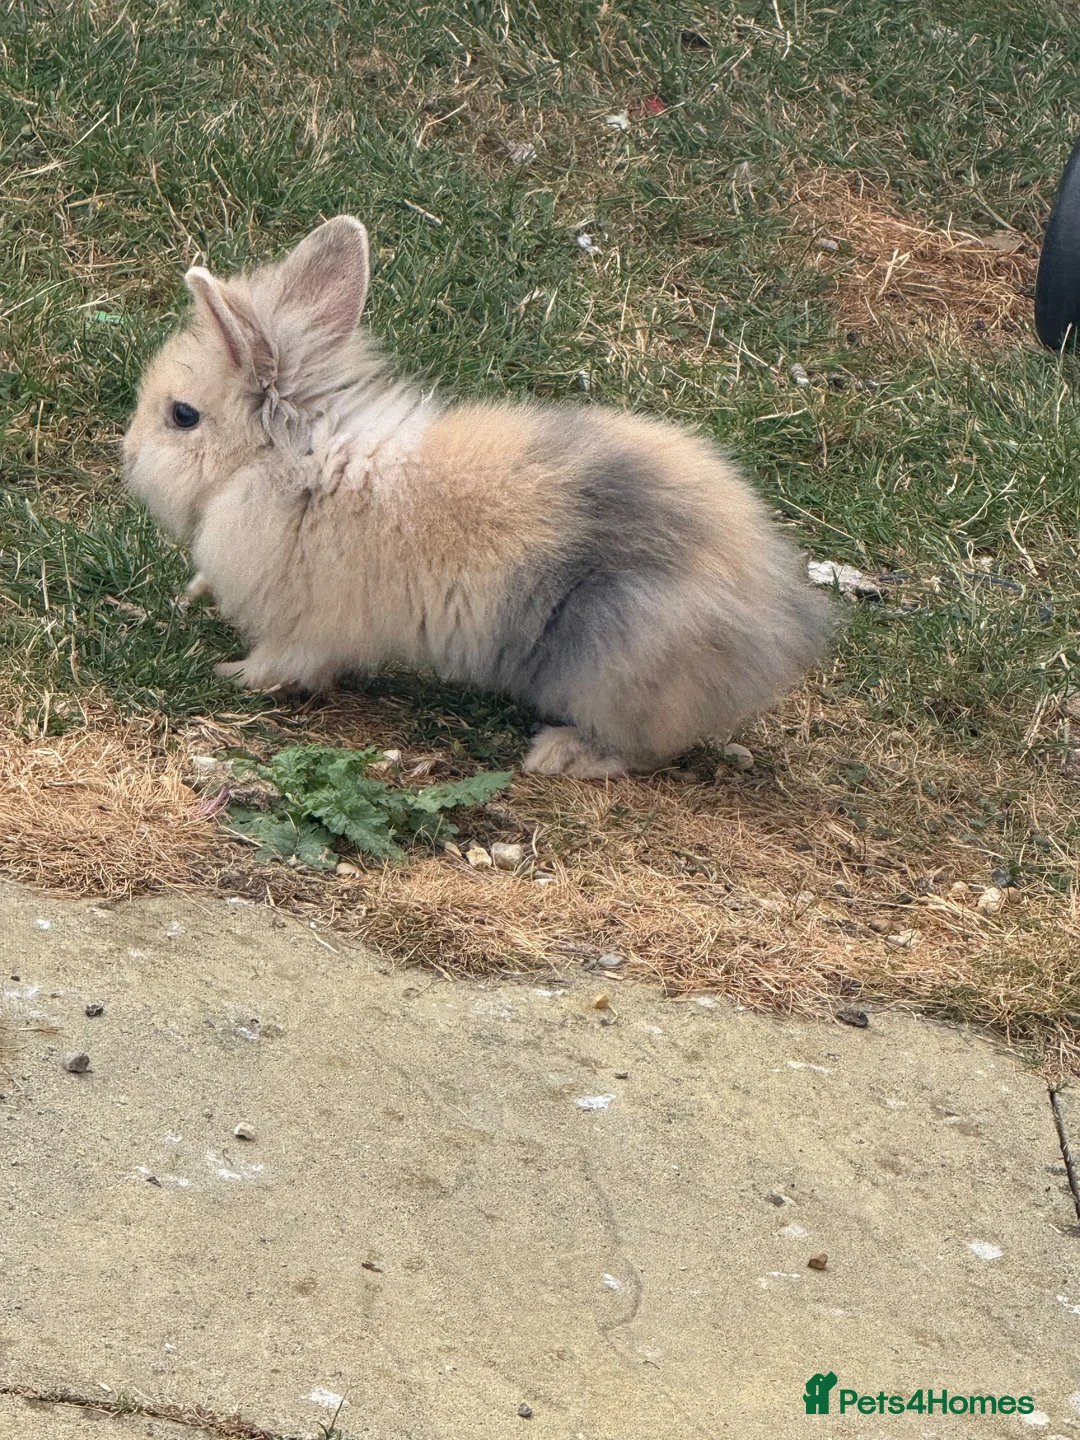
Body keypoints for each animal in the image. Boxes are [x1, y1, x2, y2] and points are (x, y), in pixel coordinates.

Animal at [123, 216, 833, 778]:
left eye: (182, 416)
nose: (126, 455)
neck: (293, 462)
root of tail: (782, 623)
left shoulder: (309, 626)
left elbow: (284, 662)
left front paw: (232, 675)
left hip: (620, 667)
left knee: (643, 749)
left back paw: (560, 755)